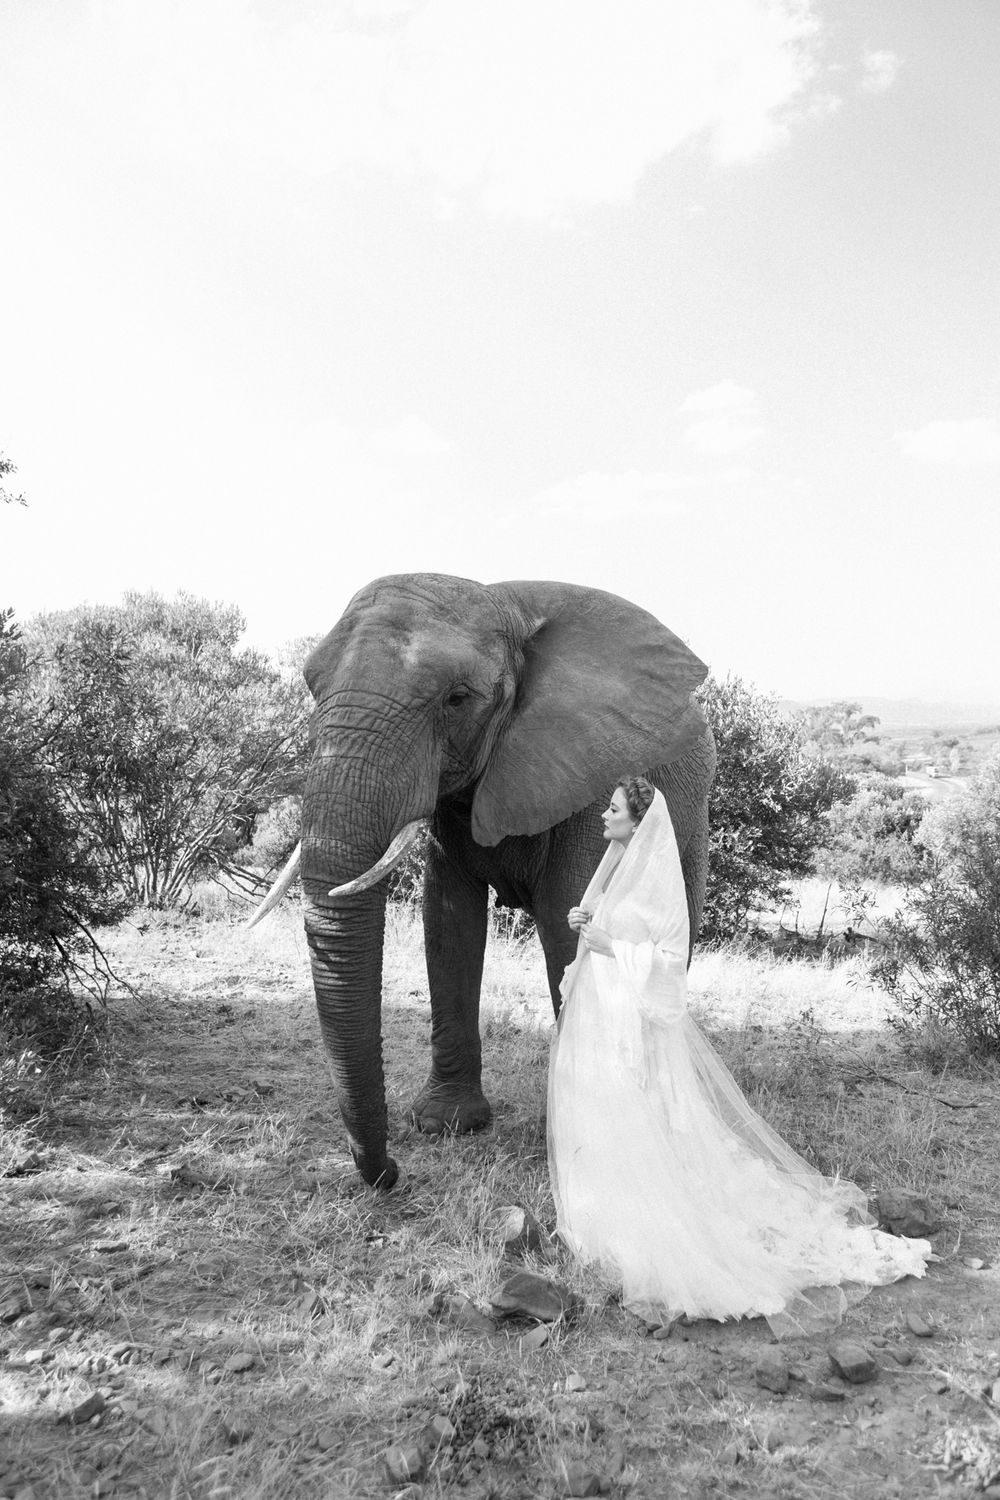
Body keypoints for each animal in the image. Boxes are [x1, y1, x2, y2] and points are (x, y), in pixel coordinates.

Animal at [251, 573, 716, 1190]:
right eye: (309, 684)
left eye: (457, 699)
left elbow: (567, 920)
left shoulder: (594, 769)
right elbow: (449, 922)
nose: (390, 1172)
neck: (506, 603)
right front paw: (445, 1124)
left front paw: (583, 1133)